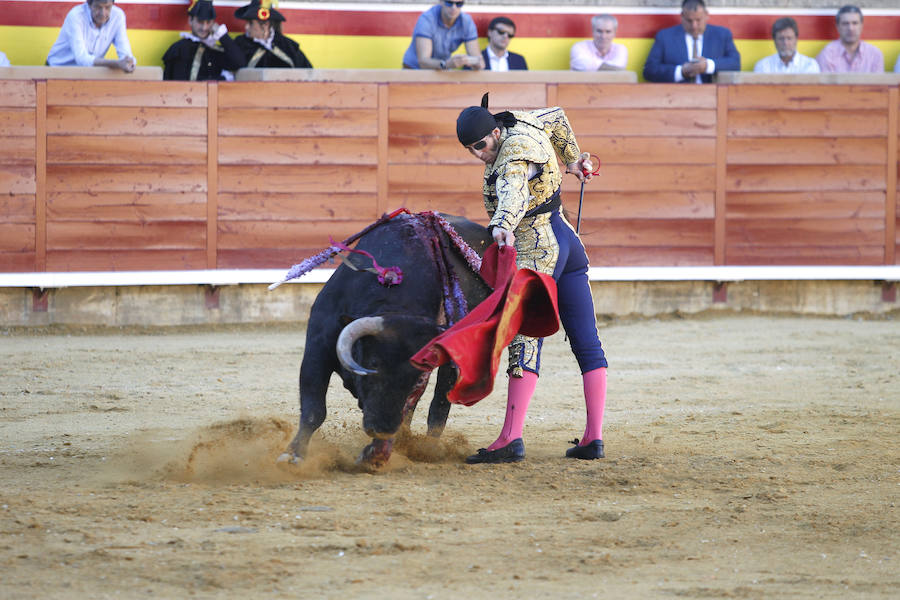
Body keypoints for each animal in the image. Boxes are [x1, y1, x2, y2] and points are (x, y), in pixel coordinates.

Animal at [278, 212, 492, 468]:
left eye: (417, 380)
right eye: (373, 365)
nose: (382, 429)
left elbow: (411, 408)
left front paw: (375, 453)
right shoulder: (317, 347)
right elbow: (314, 410)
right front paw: (293, 455)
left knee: (438, 405)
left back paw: (427, 447)